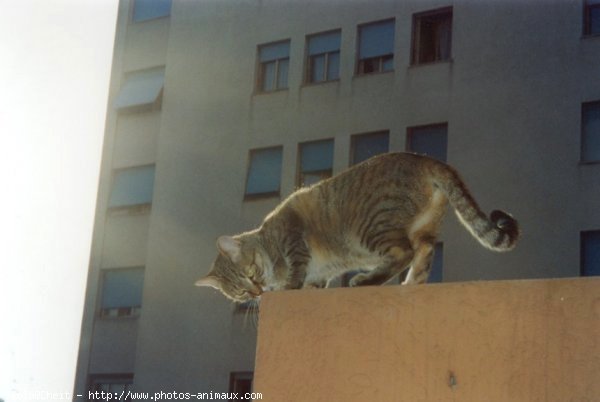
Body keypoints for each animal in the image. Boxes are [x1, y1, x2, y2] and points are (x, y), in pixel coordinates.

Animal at [195, 152, 516, 304]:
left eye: (251, 273)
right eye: (240, 293)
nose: (257, 292)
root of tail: (426, 159)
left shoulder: (294, 238)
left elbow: (296, 271)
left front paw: (287, 287)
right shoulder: (318, 272)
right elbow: (313, 282)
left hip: (372, 228)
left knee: (404, 253)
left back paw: (365, 280)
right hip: (421, 229)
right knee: (423, 254)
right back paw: (410, 284)